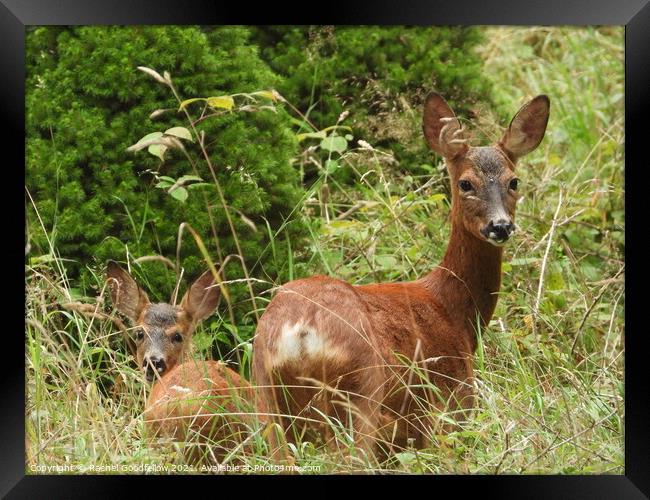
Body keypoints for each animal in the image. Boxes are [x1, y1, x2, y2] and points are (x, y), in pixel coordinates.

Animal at [251, 91, 548, 454]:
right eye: (465, 183)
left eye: (513, 181)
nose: (501, 226)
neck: (454, 310)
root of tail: (301, 330)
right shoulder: (453, 398)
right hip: (361, 391)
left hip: (267, 397)